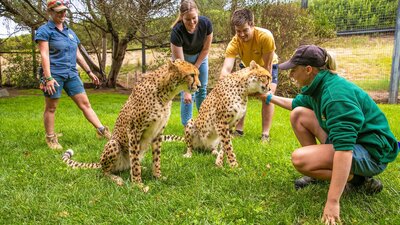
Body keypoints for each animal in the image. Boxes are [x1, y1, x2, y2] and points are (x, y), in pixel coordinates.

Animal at [62, 59, 200, 191]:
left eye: (198, 74)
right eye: (192, 75)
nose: (199, 86)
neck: (165, 94)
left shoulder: (158, 132)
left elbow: (156, 158)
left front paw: (157, 176)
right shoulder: (134, 131)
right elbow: (134, 161)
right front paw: (138, 184)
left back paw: (143, 168)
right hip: (113, 144)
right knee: (105, 172)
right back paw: (117, 179)